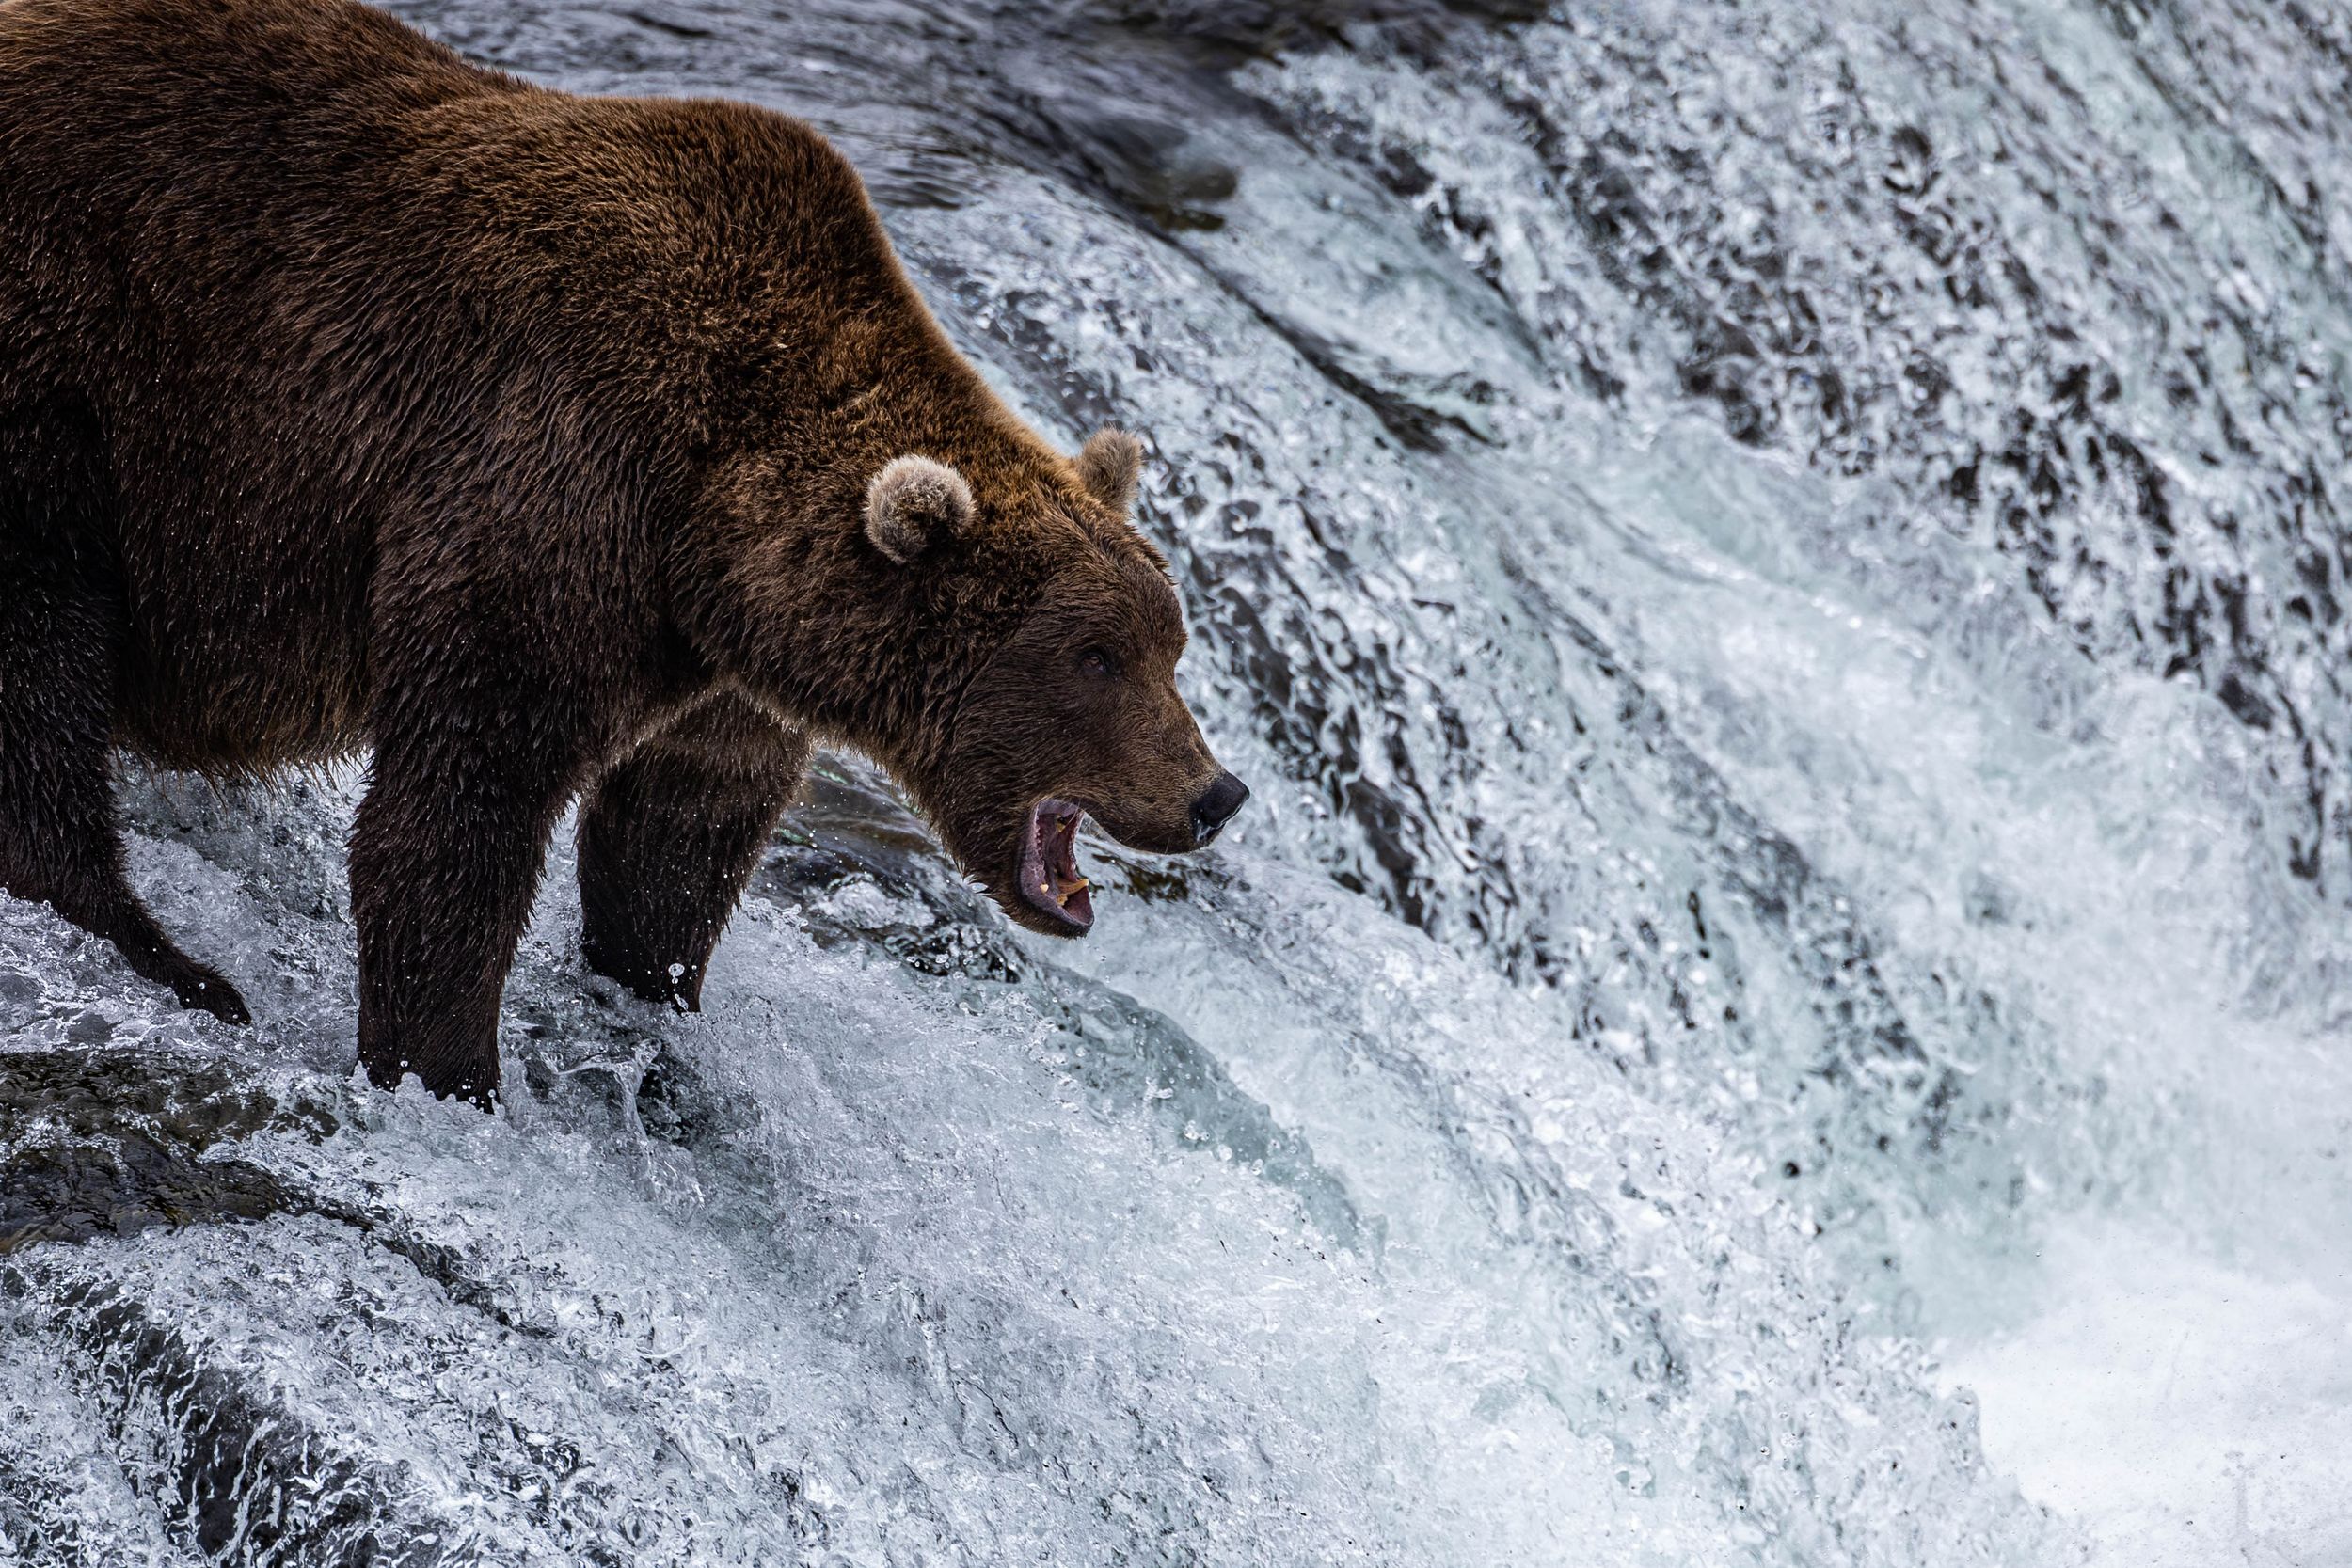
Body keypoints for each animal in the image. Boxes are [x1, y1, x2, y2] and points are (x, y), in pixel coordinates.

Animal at [0, 0, 1248, 1104]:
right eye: (1094, 657)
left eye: (1171, 645)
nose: (1215, 794)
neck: (710, 521)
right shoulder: (545, 490)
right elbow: (459, 812)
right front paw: (448, 1072)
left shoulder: (718, 663)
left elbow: (678, 837)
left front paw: (656, 1003)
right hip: (74, 366)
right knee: (43, 637)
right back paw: (165, 954)